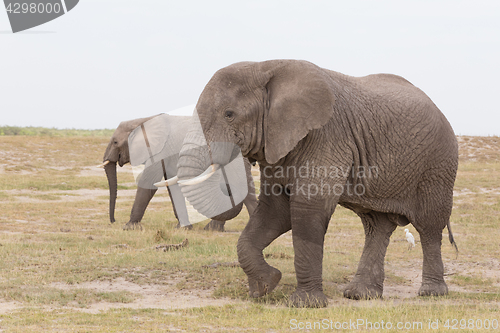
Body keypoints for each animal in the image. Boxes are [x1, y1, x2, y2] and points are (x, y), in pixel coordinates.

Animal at [101, 114, 258, 231]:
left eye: (115, 142)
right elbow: (172, 186)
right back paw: (214, 229)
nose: (113, 221)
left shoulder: (159, 151)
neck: (142, 120)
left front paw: (128, 227)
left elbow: (148, 181)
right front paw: (183, 228)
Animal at [174, 59, 458, 306]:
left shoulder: (326, 135)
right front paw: (266, 285)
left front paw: (304, 304)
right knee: (375, 226)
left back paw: (431, 293)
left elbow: (307, 209)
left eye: (229, 114)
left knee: (429, 225)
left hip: (438, 164)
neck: (265, 66)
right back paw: (361, 295)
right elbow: (275, 211)